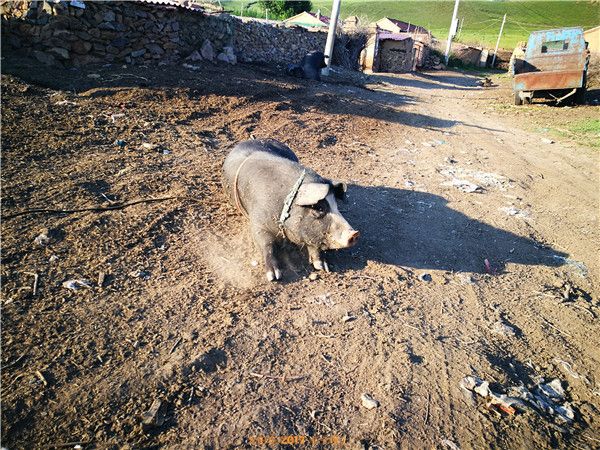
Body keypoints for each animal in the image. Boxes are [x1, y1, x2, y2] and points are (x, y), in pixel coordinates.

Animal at [223, 139, 358, 282]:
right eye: (319, 208)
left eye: (336, 206)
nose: (354, 233)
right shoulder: (258, 224)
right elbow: (266, 244)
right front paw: (274, 276)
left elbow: (313, 244)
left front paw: (323, 267)